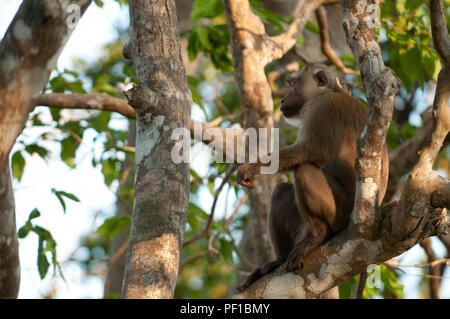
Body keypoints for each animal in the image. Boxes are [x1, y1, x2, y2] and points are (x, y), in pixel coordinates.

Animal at [237, 63, 388, 292]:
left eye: (294, 84)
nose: (282, 100)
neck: (330, 91)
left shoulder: (322, 108)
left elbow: (314, 151)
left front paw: (251, 168)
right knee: (282, 191)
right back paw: (278, 260)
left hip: (340, 212)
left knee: (304, 170)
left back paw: (317, 236)